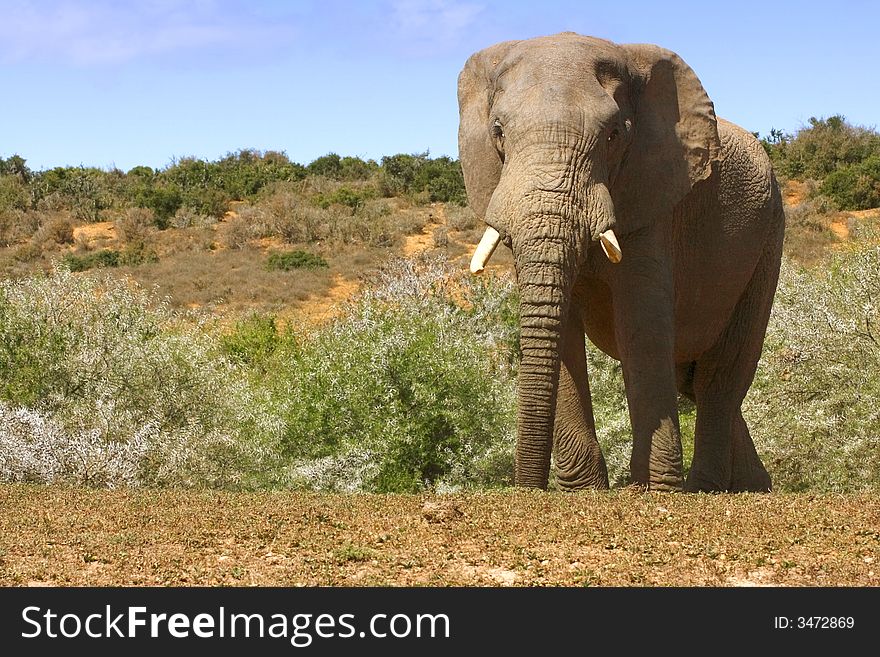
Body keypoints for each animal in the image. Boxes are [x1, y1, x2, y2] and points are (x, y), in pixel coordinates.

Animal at [460, 33, 784, 490]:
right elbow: (561, 329)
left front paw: (653, 489)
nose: (527, 488)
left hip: (768, 239)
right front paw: (585, 491)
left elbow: (641, 322)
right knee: (695, 380)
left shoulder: (652, 194)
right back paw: (754, 486)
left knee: (720, 377)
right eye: (498, 132)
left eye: (614, 135)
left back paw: (706, 488)